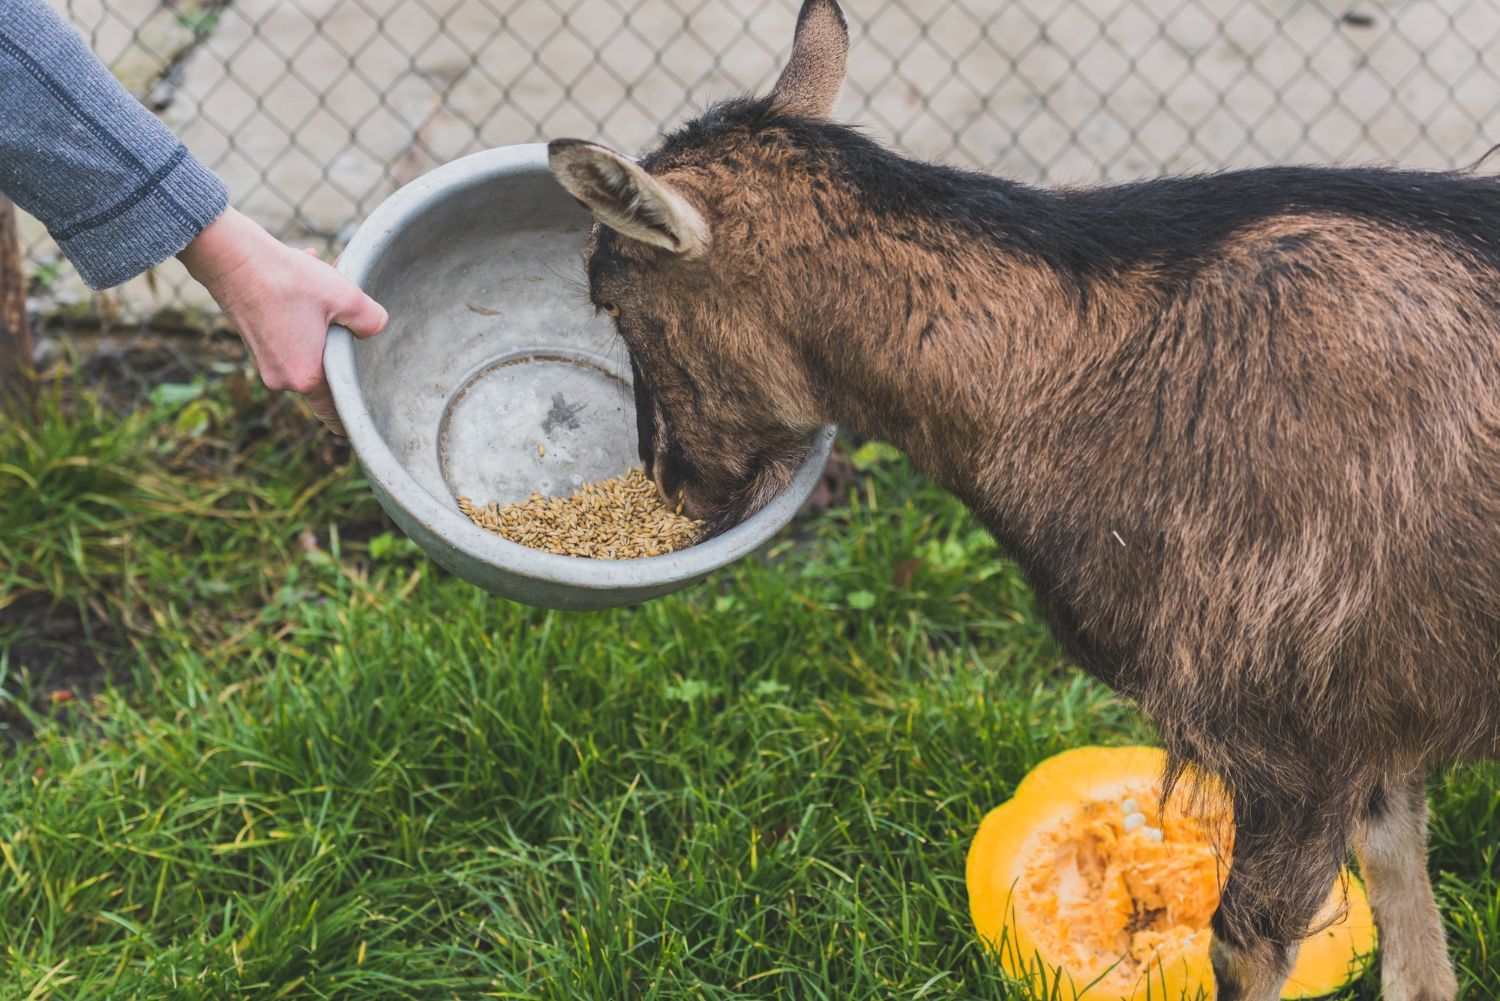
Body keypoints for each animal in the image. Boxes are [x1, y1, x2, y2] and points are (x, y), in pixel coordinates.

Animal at [547, 1, 1499, 997]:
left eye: (609, 298)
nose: (669, 479)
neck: (1077, 372)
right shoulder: (1377, 707)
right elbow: (1407, 916)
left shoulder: (1293, 731)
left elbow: (1249, 946)